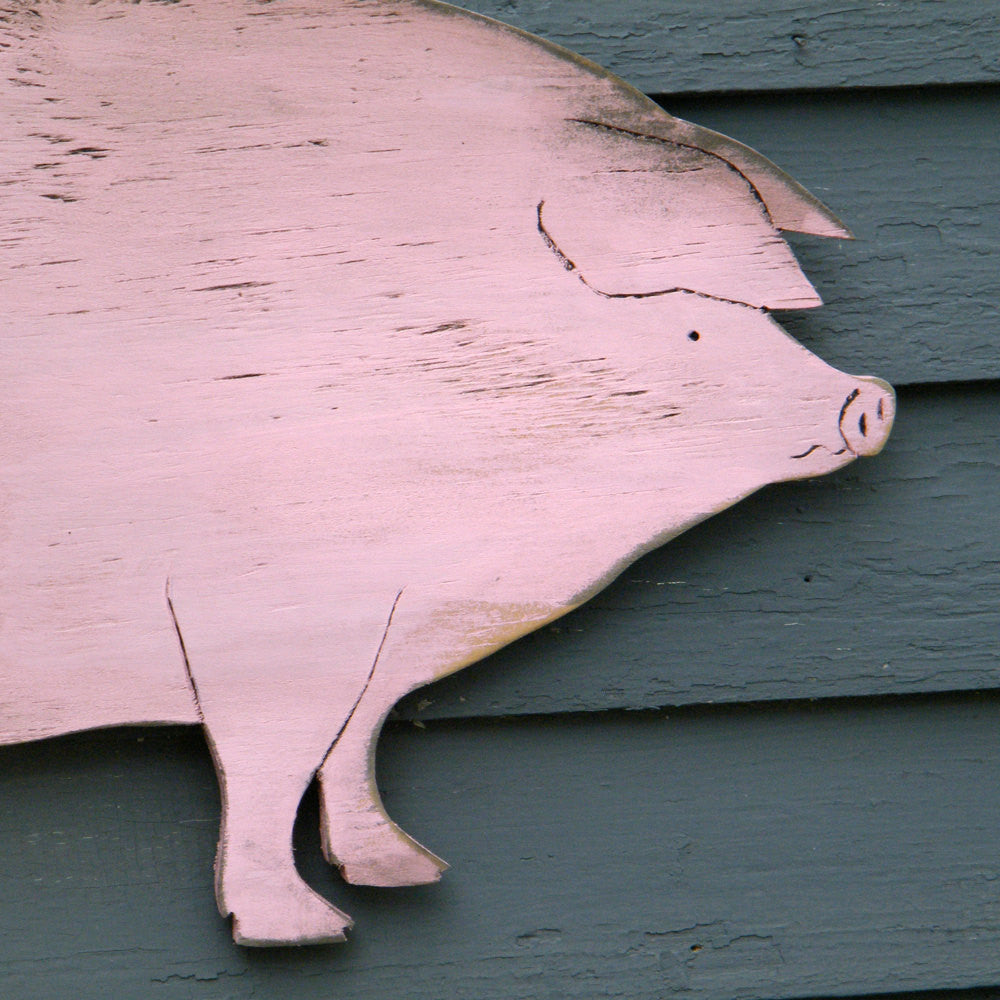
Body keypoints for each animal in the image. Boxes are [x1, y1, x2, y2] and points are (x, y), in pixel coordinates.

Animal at [0, 0, 894, 945]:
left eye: (763, 313)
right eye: (690, 325)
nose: (870, 398)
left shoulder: (390, 627)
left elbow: (353, 746)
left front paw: (405, 871)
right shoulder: (263, 606)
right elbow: (272, 763)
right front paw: (307, 929)